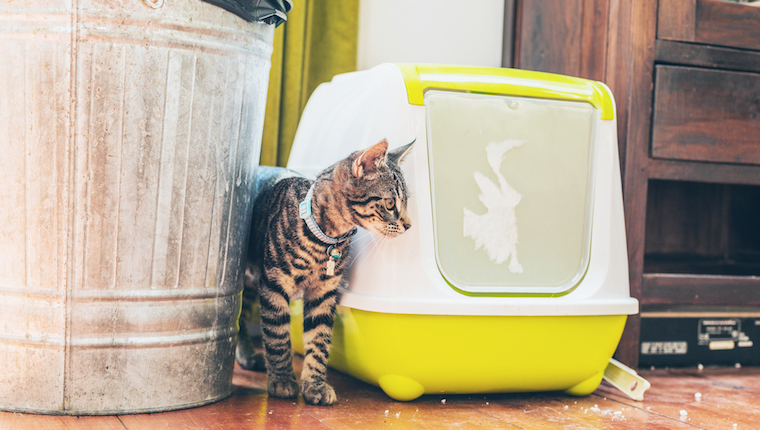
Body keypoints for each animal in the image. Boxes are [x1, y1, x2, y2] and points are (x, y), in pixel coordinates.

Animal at [238, 139, 416, 404]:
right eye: (390, 203)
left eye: (405, 202)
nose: (408, 225)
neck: (327, 239)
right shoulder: (273, 285)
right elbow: (277, 335)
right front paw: (282, 380)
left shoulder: (324, 294)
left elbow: (319, 340)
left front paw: (314, 384)